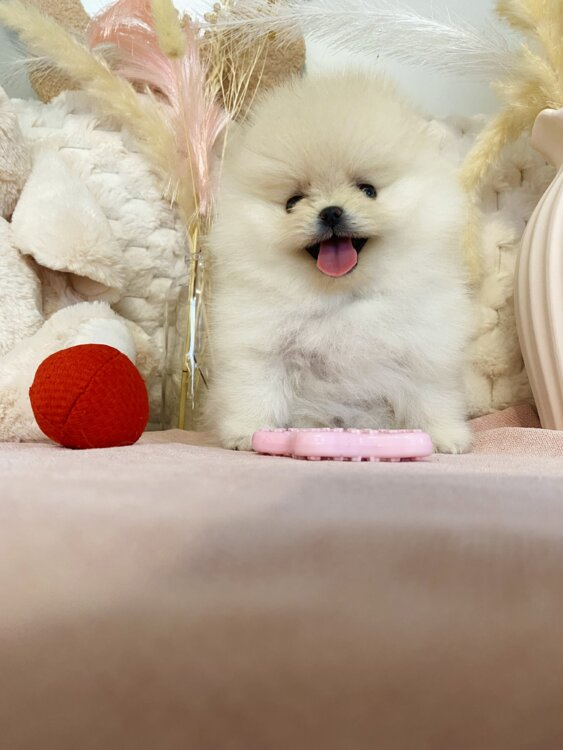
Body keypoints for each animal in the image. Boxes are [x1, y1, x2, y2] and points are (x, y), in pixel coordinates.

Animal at [204, 71, 473, 453]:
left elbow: (431, 397)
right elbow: (255, 391)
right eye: (292, 202)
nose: (331, 212)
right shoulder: (261, 349)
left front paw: (446, 437)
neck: (342, 299)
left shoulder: (425, 350)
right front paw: (246, 432)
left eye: (368, 190)